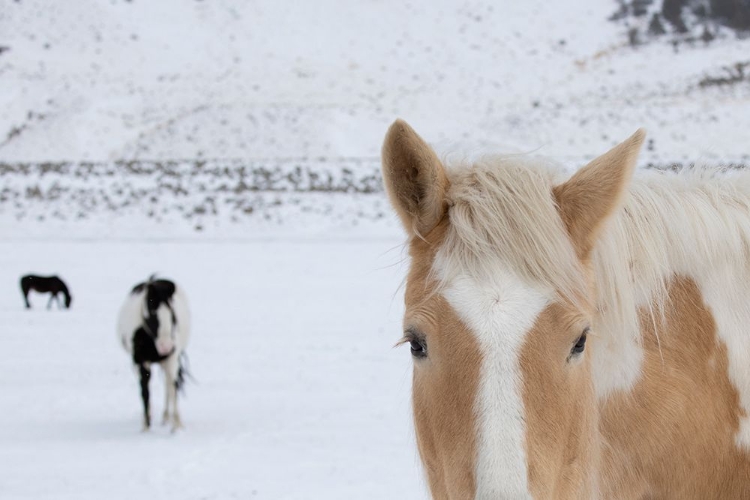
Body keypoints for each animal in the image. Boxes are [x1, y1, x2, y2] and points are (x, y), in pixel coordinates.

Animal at [117, 276, 191, 432]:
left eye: (173, 316)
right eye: (152, 313)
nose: (166, 346)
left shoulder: (172, 358)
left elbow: (173, 387)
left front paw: (176, 427)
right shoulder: (139, 361)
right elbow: (145, 391)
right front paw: (146, 427)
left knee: (168, 385)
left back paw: (167, 417)